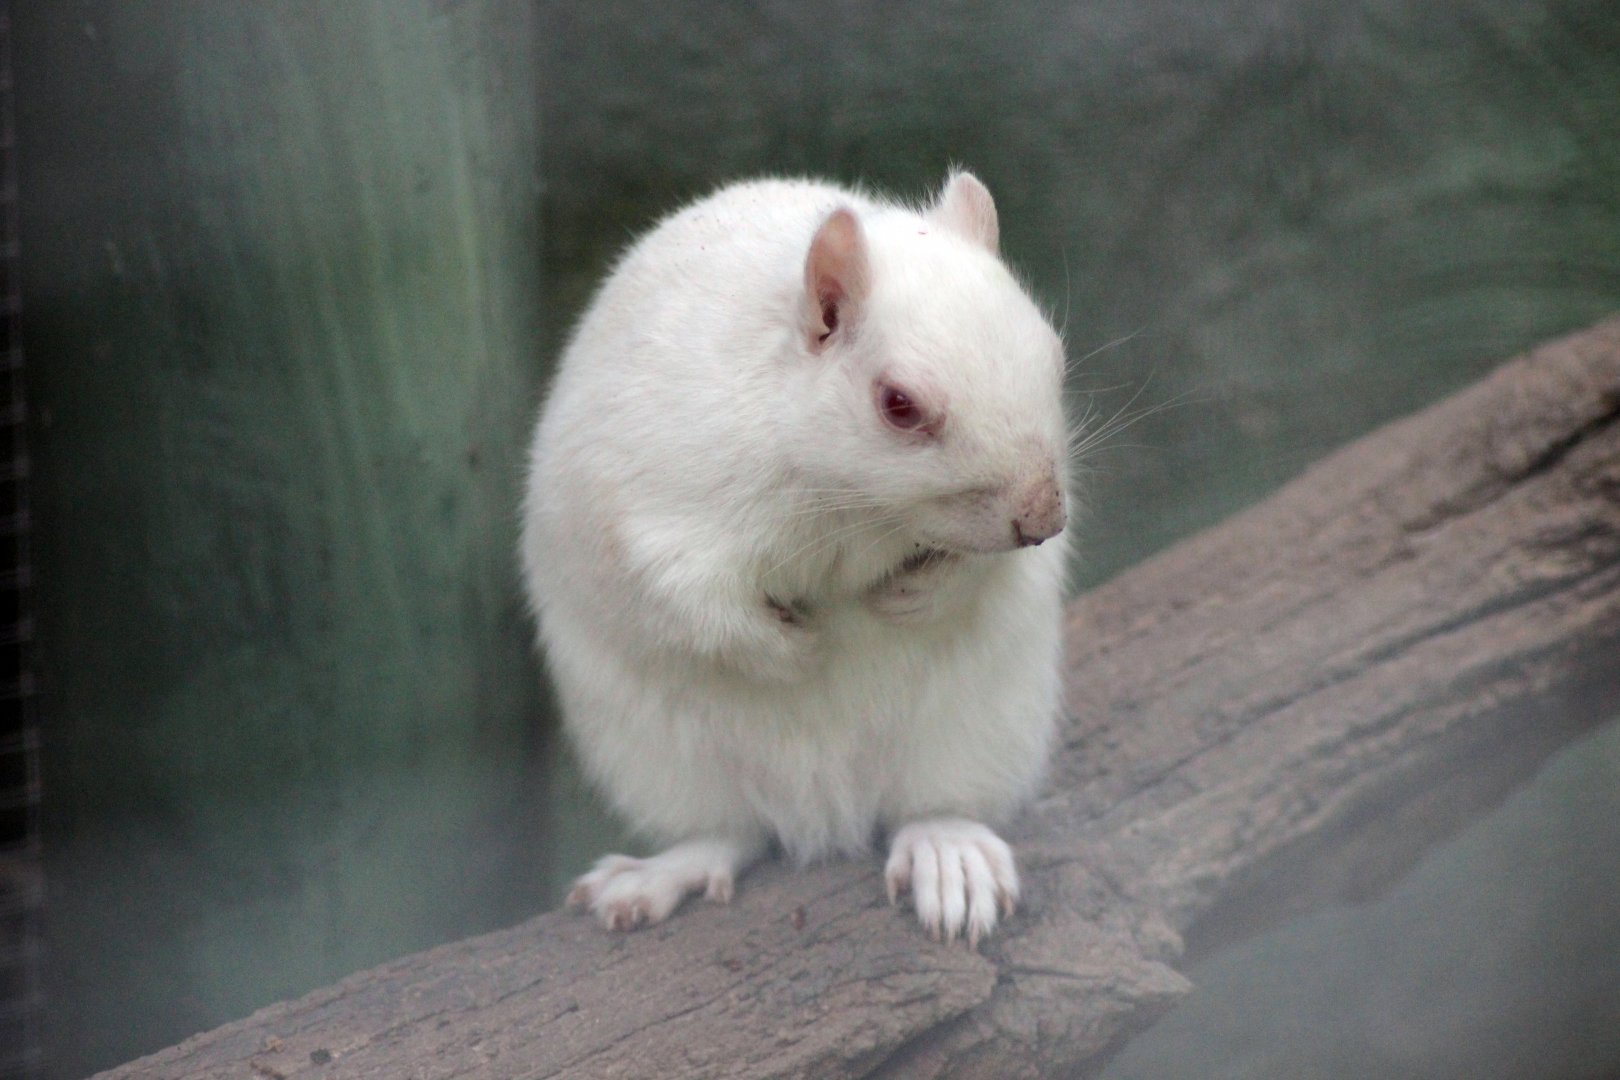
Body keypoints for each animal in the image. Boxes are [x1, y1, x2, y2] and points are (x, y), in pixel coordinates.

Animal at [521, 170, 1070, 945]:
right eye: (899, 404)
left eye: (1053, 353)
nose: (1043, 518)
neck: (848, 500)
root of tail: (826, 811)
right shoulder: (647, 509)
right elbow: (685, 600)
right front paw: (789, 651)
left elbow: (981, 566)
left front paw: (919, 596)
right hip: (661, 760)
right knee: (729, 833)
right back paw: (662, 873)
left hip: (981, 727)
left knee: (932, 806)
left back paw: (948, 851)